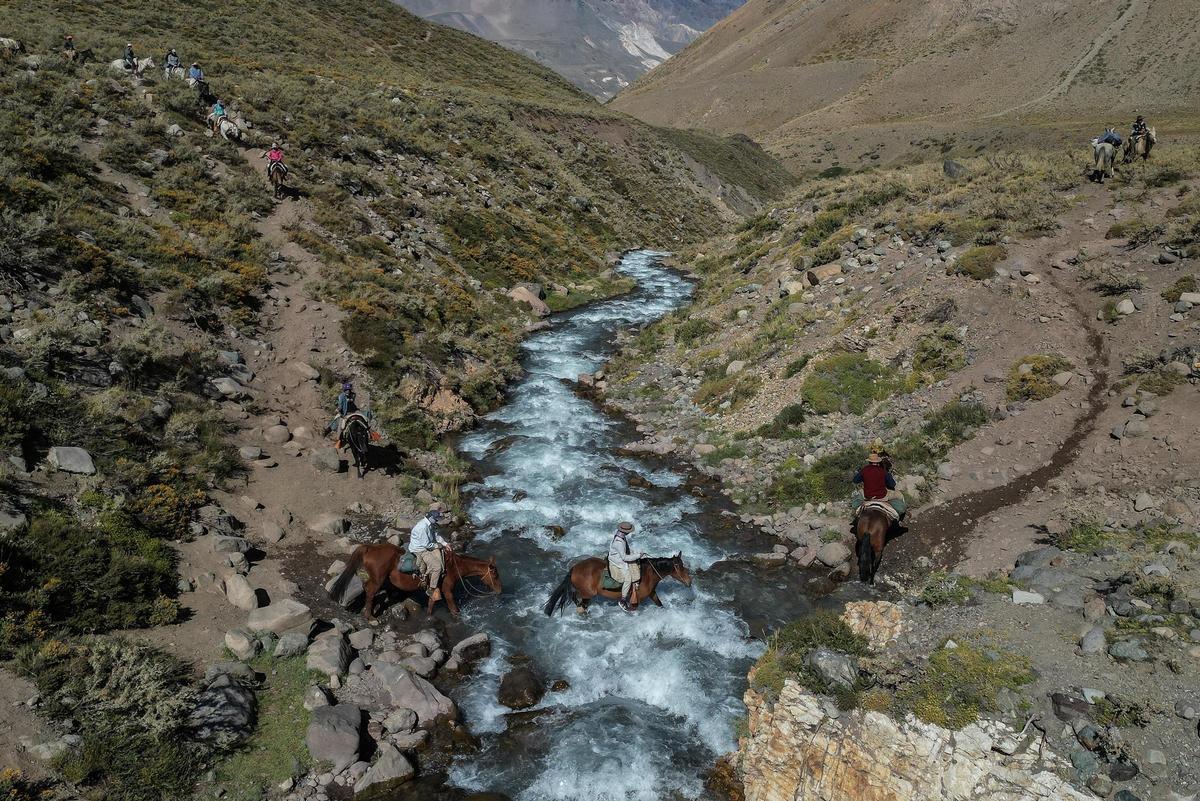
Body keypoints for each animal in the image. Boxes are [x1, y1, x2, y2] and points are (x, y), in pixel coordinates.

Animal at [326, 541, 499, 623]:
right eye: (496, 575)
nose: (499, 591)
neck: (453, 566)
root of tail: (370, 548)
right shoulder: (447, 590)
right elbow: (453, 608)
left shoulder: (435, 588)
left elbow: (431, 602)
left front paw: (428, 617)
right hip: (378, 579)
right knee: (370, 590)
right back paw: (370, 617)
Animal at [544, 553, 696, 618]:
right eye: (681, 567)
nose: (689, 582)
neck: (647, 574)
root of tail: (575, 568)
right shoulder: (636, 600)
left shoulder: (652, 594)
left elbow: (660, 604)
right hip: (588, 593)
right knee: (576, 597)